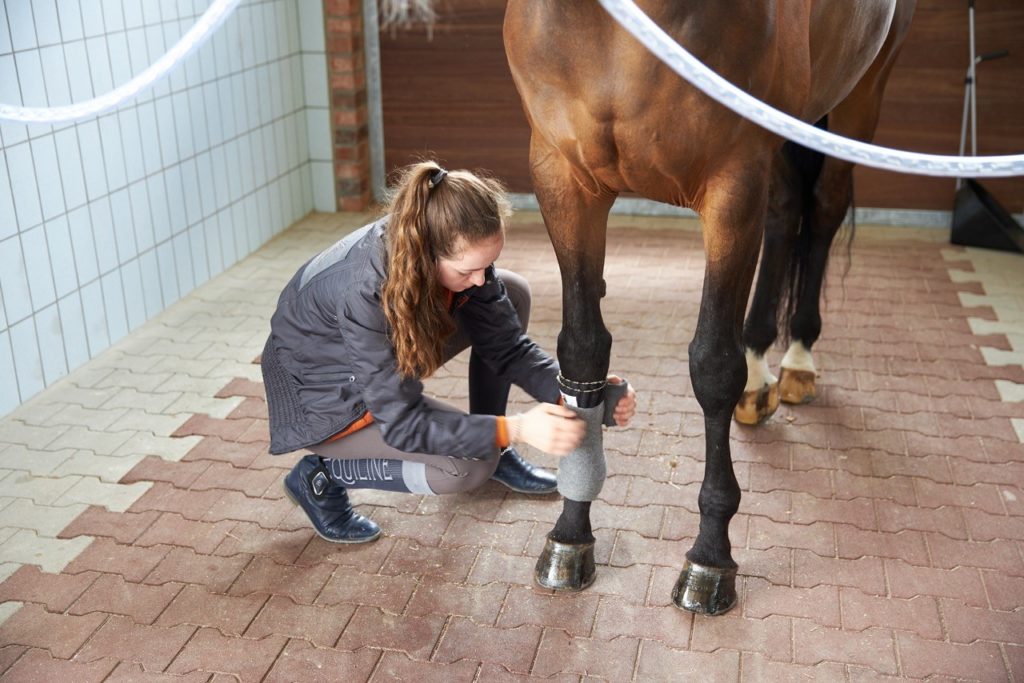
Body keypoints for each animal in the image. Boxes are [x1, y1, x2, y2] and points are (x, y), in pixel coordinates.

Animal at [501, 0, 913, 614]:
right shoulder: (561, 176)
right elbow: (582, 352)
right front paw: (570, 536)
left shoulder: (732, 183)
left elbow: (714, 366)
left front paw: (710, 559)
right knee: (785, 208)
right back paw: (762, 376)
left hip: (859, 103)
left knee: (822, 209)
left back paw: (798, 359)